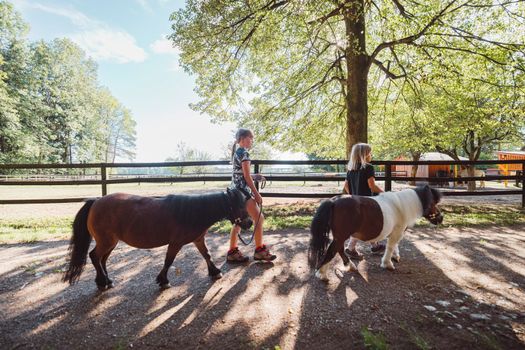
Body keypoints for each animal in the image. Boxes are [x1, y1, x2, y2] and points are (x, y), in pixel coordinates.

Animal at [63, 189, 252, 290]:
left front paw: (215, 272)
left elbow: (207, 255)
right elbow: (168, 261)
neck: (192, 212)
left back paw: (105, 281)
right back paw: (103, 282)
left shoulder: (198, 240)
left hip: (110, 242)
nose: (250, 223)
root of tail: (95, 201)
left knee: (102, 259)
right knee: (94, 257)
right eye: (238, 205)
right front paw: (163, 280)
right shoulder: (175, 243)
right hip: (106, 241)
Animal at [308, 185, 442, 280]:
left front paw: (395, 256)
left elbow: (395, 245)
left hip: (339, 236)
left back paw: (350, 266)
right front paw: (387, 263)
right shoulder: (397, 232)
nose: (441, 218)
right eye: (433, 202)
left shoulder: (396, 232)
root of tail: (334, 201)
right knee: (332, 251)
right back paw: (322, 274)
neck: (402, 206)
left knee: (339, 249)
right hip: (341, 236)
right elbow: (391, 246)